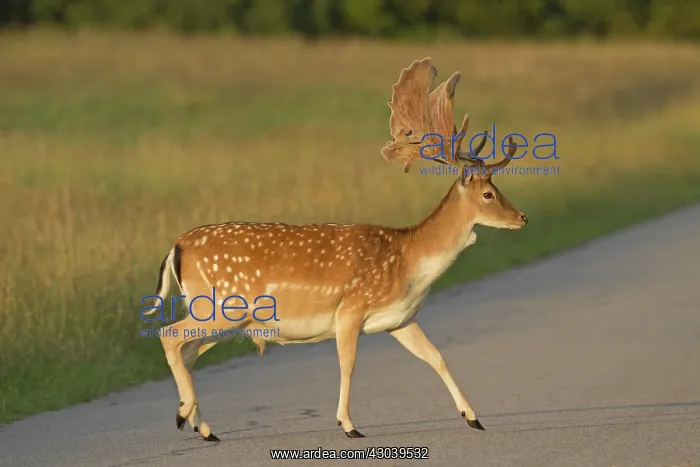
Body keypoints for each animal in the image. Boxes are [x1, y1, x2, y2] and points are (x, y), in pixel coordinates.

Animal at [144, 57, 528, 443]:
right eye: (488, 194)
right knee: (169, 336)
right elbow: (348, 365)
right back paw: (184, 414)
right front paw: (348, 425)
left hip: (224, 315)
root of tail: (177, 246)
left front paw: (473, 416)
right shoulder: (350, 309)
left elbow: (436, 356)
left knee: (188, 350)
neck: (410, 262)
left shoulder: (401, 318)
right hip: (223, 305)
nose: (522, 217)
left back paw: (201, 425)